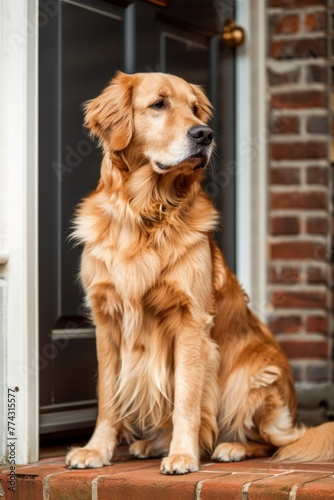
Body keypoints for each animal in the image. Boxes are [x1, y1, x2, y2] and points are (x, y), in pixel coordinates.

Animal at [66, 70, 334, 472]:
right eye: (158, 104)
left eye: (195, 109)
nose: (204, 134)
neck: (146, 213)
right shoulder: (106, 319)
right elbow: (107, 397)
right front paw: (96, 450)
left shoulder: (190, 320)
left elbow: (187, 399)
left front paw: (182, 454)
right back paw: (152, 443)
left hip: (253, 375)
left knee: (270, 441)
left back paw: (231, 446)